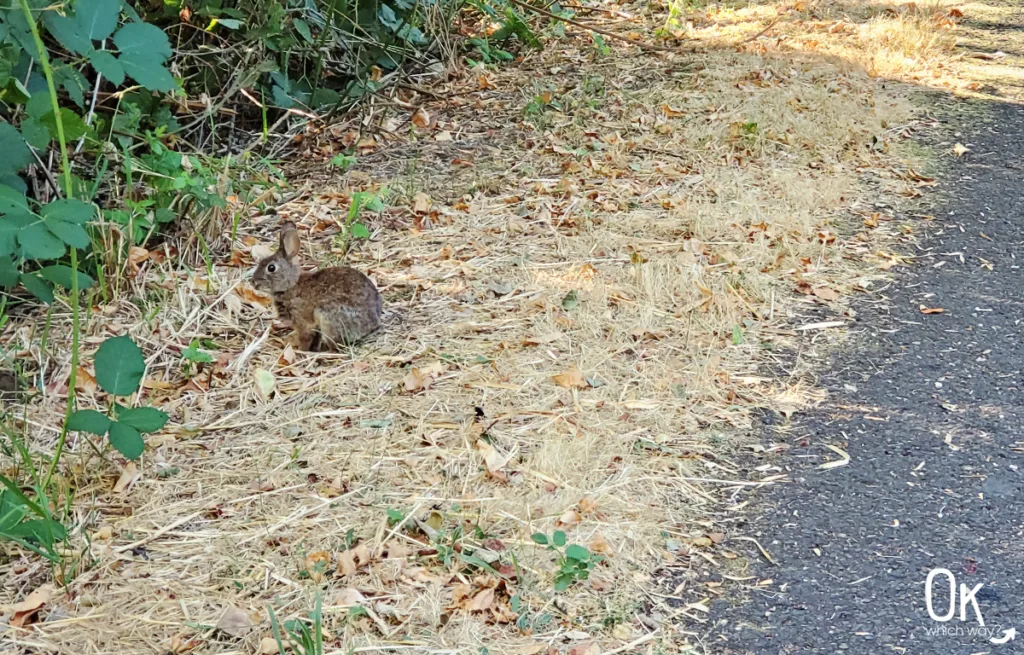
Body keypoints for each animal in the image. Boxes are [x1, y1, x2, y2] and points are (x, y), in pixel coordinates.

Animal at [252, 221, 385, 352]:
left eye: (271, 268)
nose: (253, 282)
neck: (291, 285)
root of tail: (373, 321)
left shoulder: (301, 320)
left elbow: (305, 337)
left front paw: (301, 351)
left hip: (327, 317)